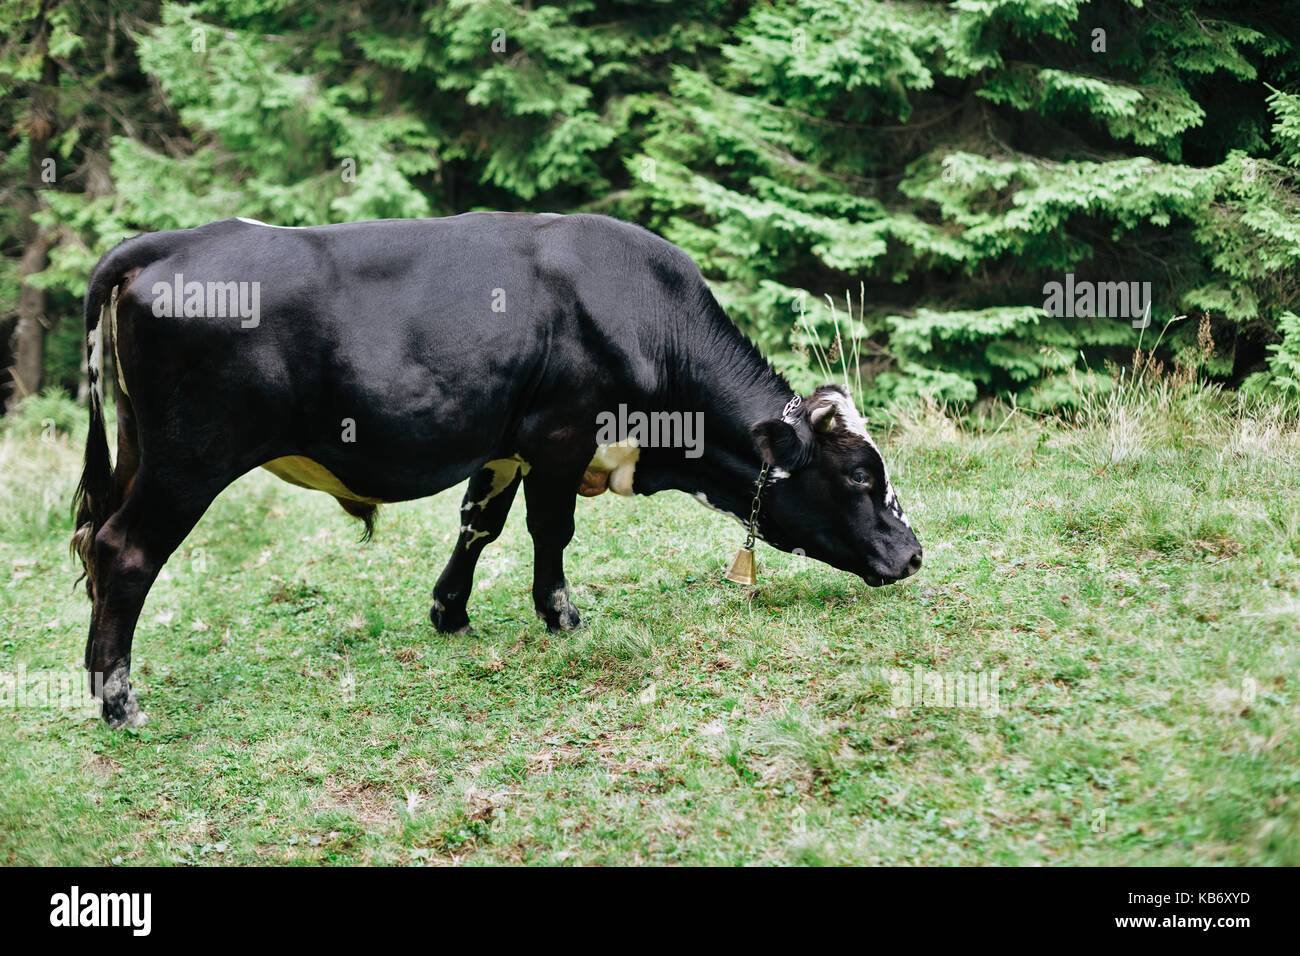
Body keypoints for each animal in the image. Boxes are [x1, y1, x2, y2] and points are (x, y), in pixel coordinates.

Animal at [71, 213, 922, 727]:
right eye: (859, 475)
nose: (912, 554)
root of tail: (170, 242)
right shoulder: (561, 433)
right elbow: (552, 528)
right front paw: (562, 615)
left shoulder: (505, 441)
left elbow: (480, 523)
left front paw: (450, 612)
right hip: (190, 461)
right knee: (125, 550)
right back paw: (118, 701)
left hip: (142, 450)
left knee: (97, 543)